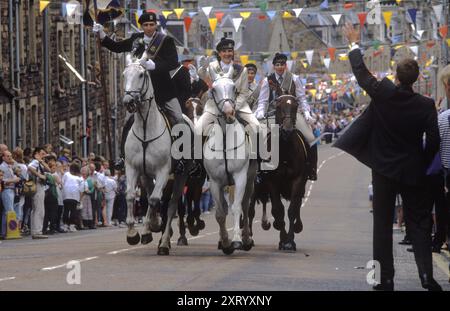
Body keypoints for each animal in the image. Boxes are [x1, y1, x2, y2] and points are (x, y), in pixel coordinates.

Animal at [123, 53, 193, 256]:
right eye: (124, 75)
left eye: (141, 75)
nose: (128, 102)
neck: (146, 126)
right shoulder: (132, 168)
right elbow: (131, 195)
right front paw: (133, 233)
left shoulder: (163, 170)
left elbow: (155, 199)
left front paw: (149, 229)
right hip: (146, 175)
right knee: (150, 196)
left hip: (181, 176)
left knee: (171, 205)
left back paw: (164, 242)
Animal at [200, 67, 256, 255]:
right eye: (213, 89)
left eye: (234, 88)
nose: (229, 113)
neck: (224, 140)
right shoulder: (215, 182)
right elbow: (219, 213)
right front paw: (225, 242)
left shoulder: (240, 177)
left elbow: (237, 208)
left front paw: (237, 240)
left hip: (250, 180)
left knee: (245, 206)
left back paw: (246, 239)